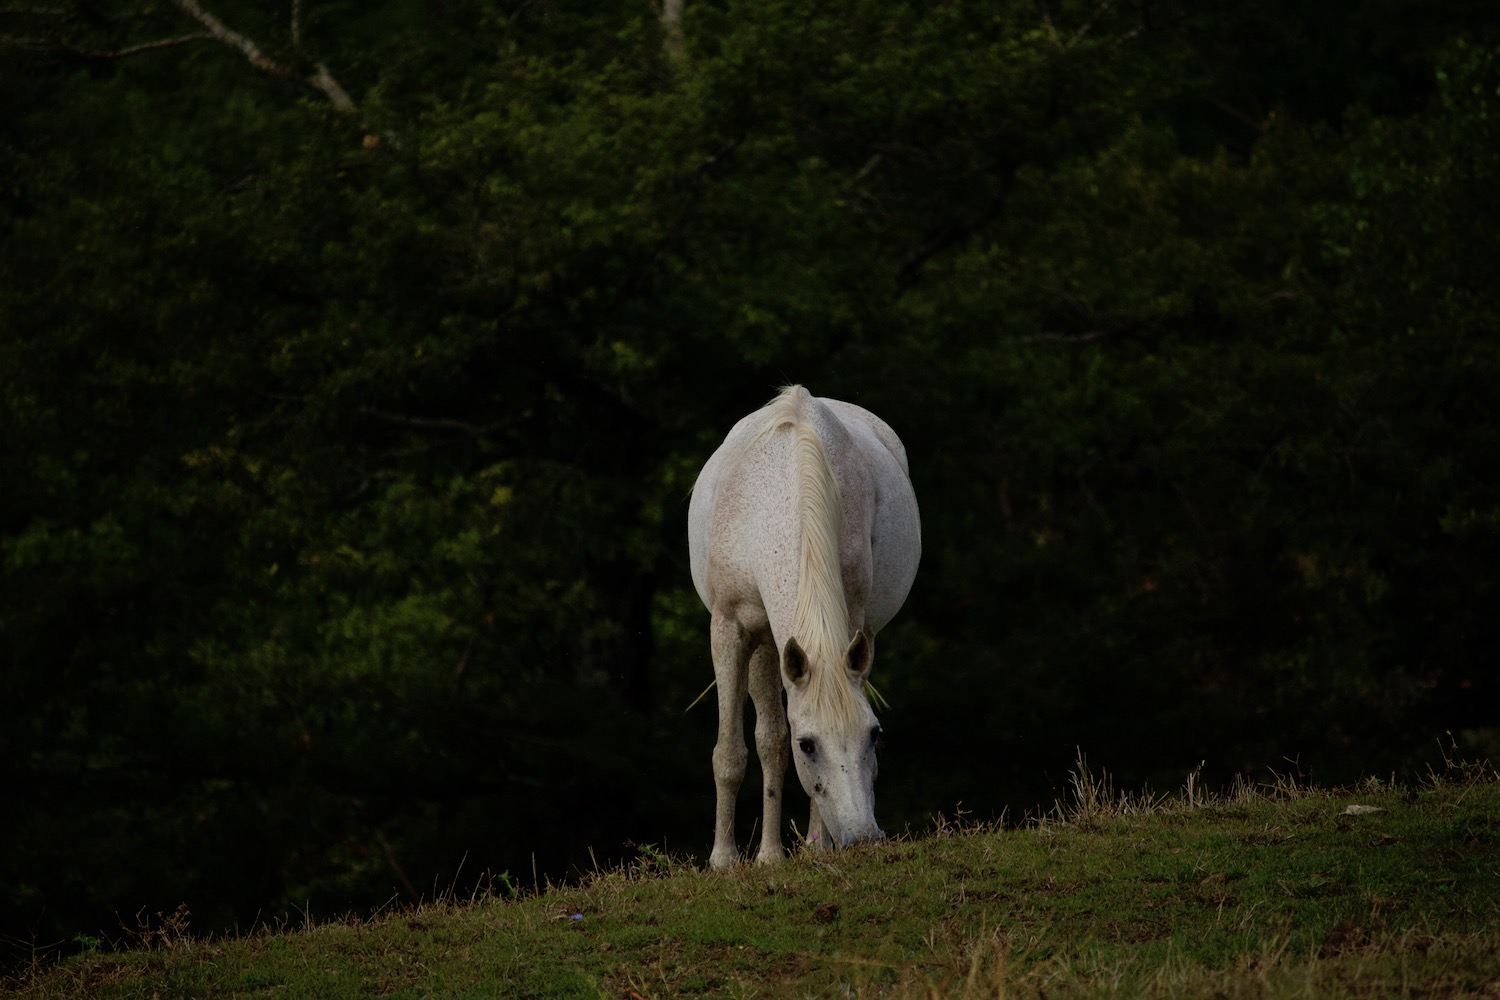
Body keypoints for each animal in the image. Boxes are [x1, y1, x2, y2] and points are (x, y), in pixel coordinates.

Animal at [687, 386, 918, 869]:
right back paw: (768, 854)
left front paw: (815, 845)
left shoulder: (850, 623)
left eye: (875, 735)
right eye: (808, 744)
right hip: (764, 644)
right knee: (770, 739)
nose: (863, 837)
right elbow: (732, 752)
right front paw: (723, 859)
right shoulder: (730, 628)